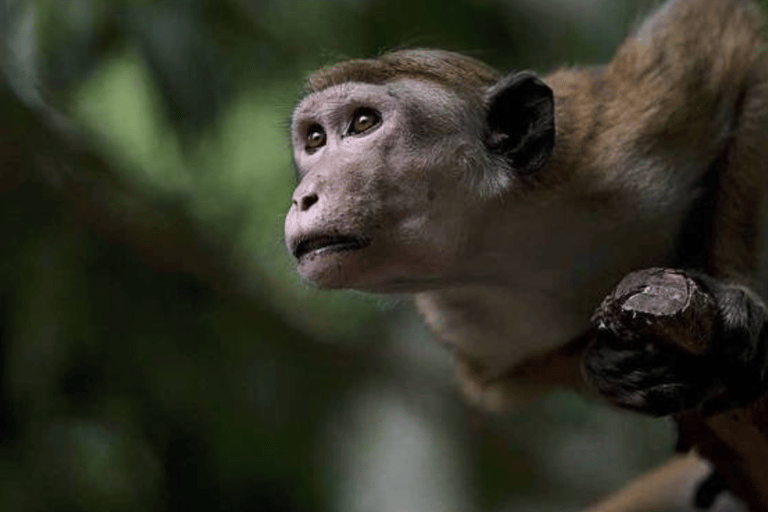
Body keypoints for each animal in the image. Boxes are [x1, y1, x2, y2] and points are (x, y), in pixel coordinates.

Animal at [284, 0, 768, 510]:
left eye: (363, 123)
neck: (504, 235)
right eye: (314, 139)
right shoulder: (468, 326)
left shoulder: (624, 136)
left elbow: (722, 33)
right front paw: (607, 369)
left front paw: (734, 296)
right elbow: (506, 383)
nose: (302, 198)